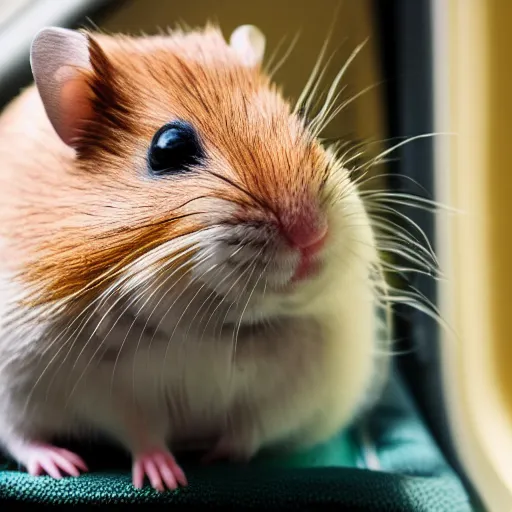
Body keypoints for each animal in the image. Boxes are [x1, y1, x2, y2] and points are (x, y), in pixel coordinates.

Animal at [0, 25, 390, 492]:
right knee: (21, 437)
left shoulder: (292, 391)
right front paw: (166, 479)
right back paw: (59, 463)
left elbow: (249, 430)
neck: (210, 328)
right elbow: (142, 434)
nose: (312, 234)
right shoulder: (108, 391)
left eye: (299, 123)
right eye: (169, 147)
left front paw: (216, 458)